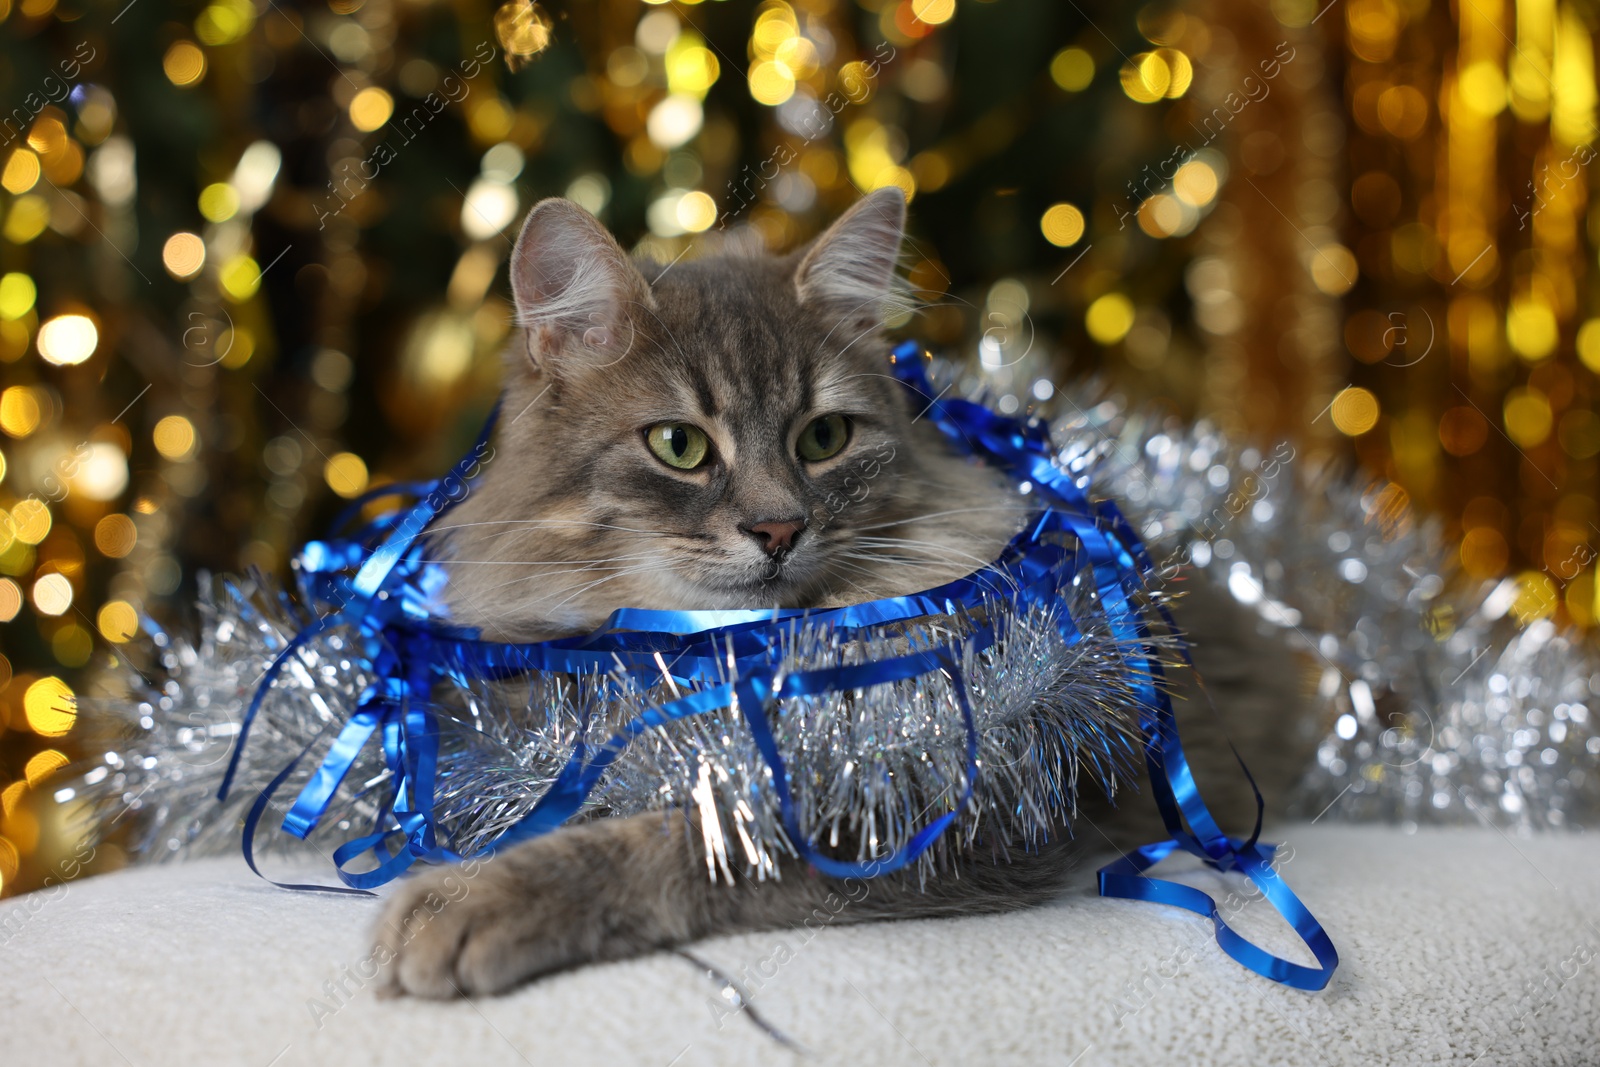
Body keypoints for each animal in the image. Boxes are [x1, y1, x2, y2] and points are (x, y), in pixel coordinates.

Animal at [374, 187, 1312, 998]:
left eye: (823, 438)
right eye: (679, 445)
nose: (778, 529)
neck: (724, 649)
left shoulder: (925, 802)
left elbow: (676, 841)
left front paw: (470, 903)